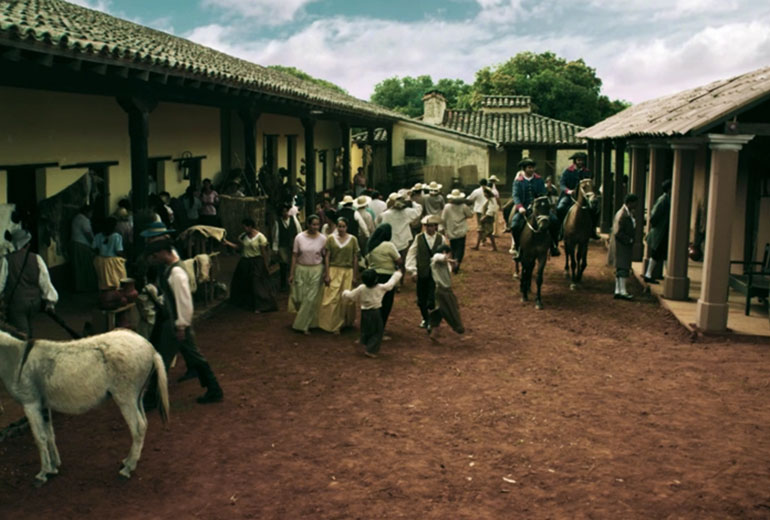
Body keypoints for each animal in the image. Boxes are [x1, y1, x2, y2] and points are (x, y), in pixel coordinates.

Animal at [0, 327, 169, 485]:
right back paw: (127, 461)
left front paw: (43, 473)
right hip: (137, 396)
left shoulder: (30, 404)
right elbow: (49, 435)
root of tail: (150, 348)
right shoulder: (43, 405)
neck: (16, 358)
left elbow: (39, 438)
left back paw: (128, 469)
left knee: (138, 428)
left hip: (125, 397)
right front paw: (54, 467)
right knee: (144, 424)